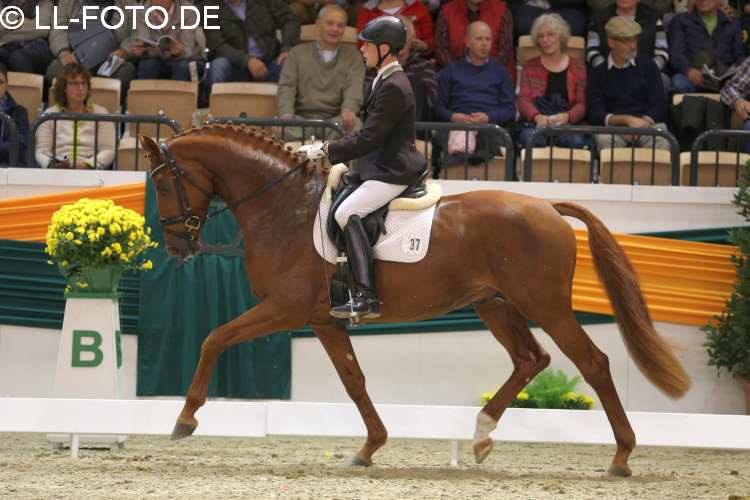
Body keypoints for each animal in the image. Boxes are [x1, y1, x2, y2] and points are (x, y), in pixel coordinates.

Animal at [138, 126, 692, 476]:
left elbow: (214, 338)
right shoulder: (324, 320)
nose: (178, 248)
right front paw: (369, 448)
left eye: (163, 182)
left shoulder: (285, 309)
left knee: (592, 363)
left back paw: (620, 458)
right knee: (531, 359)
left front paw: (185, 420)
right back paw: (482, 435)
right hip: (496, 304)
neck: (284, 207)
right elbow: (353, 380)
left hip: (546, 305)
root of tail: (547, 206)